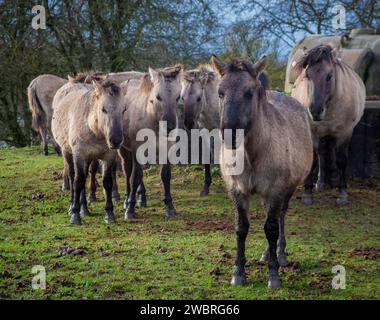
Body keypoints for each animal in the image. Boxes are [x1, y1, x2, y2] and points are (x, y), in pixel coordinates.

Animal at [51, 78, 127, 224]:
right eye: (103, 109)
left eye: (124, 109)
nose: (115, 140)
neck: (93, 129)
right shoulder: (79, 155)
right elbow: (78, 181)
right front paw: (75, 215)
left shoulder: (108, 156)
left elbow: (107, 182)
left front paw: (109, 214)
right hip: (67, 152)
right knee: (72, 175)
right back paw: (73, 206)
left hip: (91, 157)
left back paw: (84, 208)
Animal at [119, 65, 183, 220]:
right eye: (158, 97)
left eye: (178, 97)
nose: (170, 127)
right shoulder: (137, 150)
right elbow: (134, 177)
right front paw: (130, 209)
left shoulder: (166, 150)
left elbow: (165, 176)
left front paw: (169, 206)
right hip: (124, 150)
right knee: (128, 171)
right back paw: (127, 199)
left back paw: (142, 199)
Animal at [182, 65, 270, 195]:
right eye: (182, 98)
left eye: (198, 98)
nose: (188, 124)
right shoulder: (205, 132)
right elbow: (208, 156)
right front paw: (206, 186)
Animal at [212, 55, 314, 290]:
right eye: (220, 92)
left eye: (249, 92)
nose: (230, 134)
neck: (252, 154)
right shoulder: (238, 191)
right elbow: (241, 228)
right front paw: (238, 273)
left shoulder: (276, 191)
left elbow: (271, 229)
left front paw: (274, 275)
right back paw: (268, 253)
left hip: (287, 189)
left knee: (280, 218)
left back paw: (280, 254)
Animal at [290, 44, 366, 205]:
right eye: (307, 75)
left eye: (330, 76)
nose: (315, 111)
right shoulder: (313, 132)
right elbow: (313, 159)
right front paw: (307, 194)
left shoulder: (345, 133)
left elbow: (341, 160)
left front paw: (342, 194)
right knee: (321, 153)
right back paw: (320, 183)